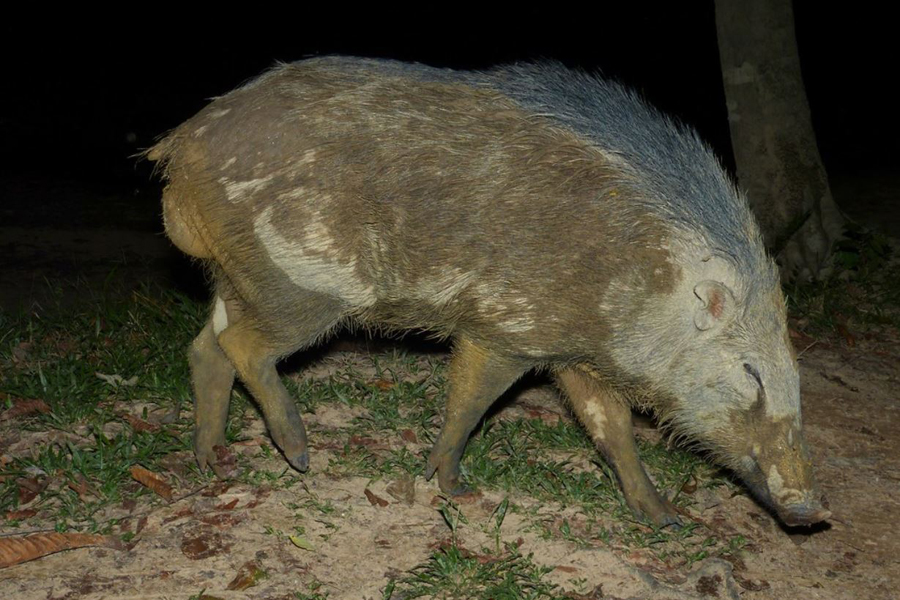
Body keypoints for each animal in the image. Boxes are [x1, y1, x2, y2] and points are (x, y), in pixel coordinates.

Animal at [147, 56, 830, 528]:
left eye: (795, 373)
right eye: (750, 372)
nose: (811, 510)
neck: (644, 283)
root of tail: (179, 148)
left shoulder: (576, 354)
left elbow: (611, 430)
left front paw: (664, 520)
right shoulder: (507, 326)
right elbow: (472, 402)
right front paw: (453, 488)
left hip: (236, 278)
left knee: (204, 348)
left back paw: (213, 458)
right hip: (300, 287)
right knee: (243, 347)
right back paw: (299, 455)